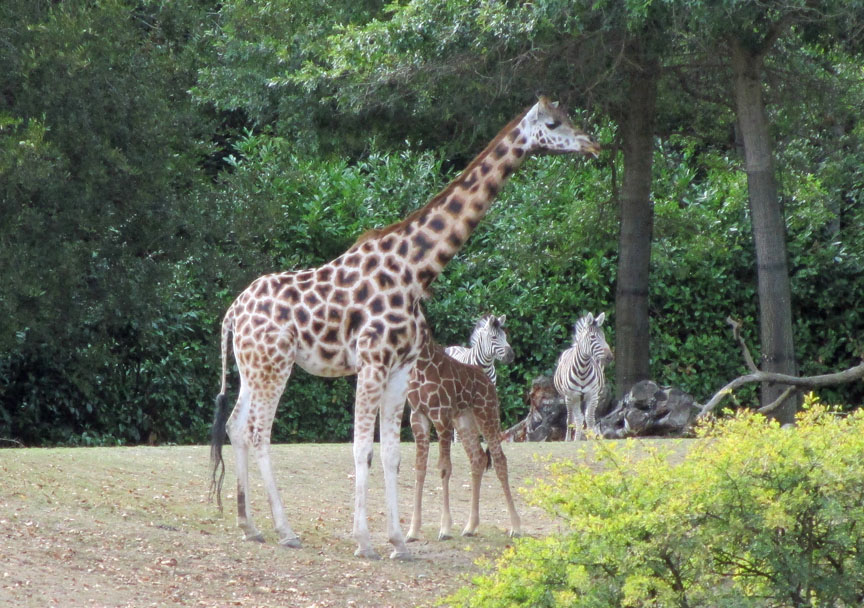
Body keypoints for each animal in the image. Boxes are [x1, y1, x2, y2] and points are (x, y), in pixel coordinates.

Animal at [404, 332, 520, 540]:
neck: (422, 365)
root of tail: (489, 381)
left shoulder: (441, 415)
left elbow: (444, 468)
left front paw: (444, 529)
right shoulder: (418, 416)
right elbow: (419, 468)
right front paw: (412, 531)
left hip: (487, 414)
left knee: (499, 460)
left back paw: (515, 527)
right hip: (464, 421)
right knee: (478, 458)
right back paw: (470, 527)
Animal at [552, 314, 616, 442]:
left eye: (603, 336)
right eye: (592, 337)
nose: (610, 357)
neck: (582, 370)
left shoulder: (593, 396)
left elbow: (590, 419)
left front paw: (591, 439)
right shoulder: (574, 397)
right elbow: (578, 419)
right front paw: (577, 440)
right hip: (568, 398)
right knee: (570, 419)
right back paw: (568, 439)